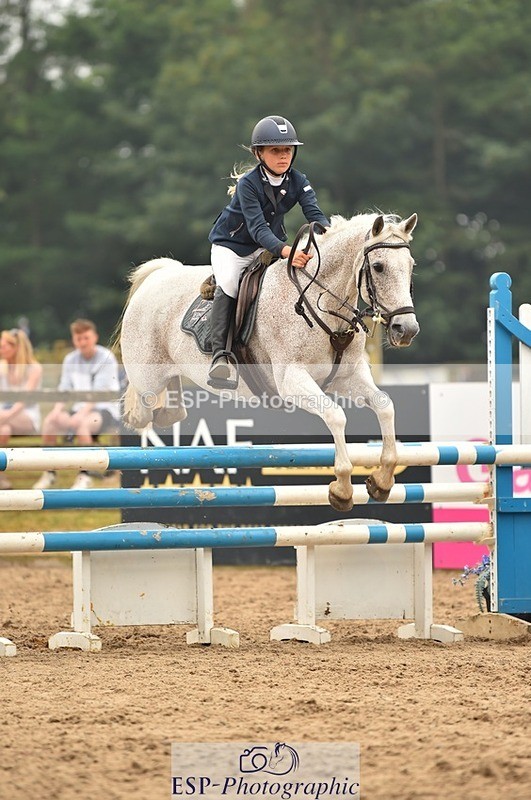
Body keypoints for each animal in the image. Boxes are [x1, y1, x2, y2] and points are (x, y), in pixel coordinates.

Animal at [117, 212, 419, 512]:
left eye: (410, 266)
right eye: (378, 267)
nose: (406, 330)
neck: (320, 304)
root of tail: (158, 275)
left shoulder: (349, 376)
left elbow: (384, 405)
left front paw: (381, 481)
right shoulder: (291, 380)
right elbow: (336, 415)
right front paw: (342, 490)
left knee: (174, 406)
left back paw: (166, 413)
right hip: (148, 379)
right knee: (141, 411)